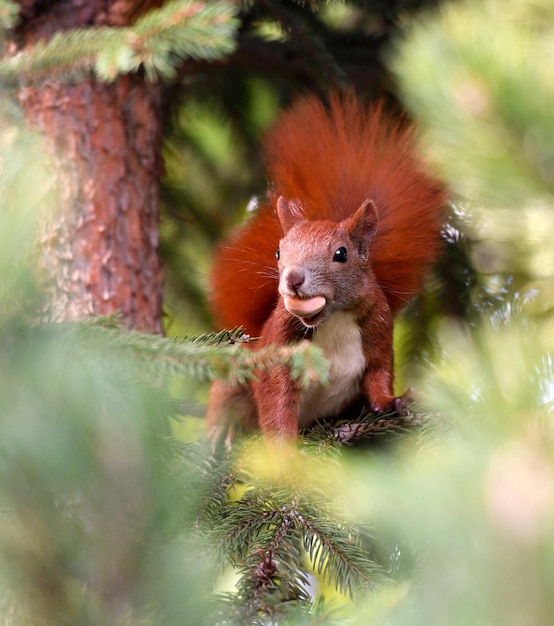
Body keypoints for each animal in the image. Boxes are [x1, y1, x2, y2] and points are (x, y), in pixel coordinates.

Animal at [206, 92, 444, 444]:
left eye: (341, 254)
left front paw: (394, 401)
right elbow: (274, 396)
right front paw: (283, 449)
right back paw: (222, 430)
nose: (293, 278)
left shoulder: (378, 329)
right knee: (228, 391)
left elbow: (379, 377)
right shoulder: (279, 346)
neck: (333, 321)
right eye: (278, 252)